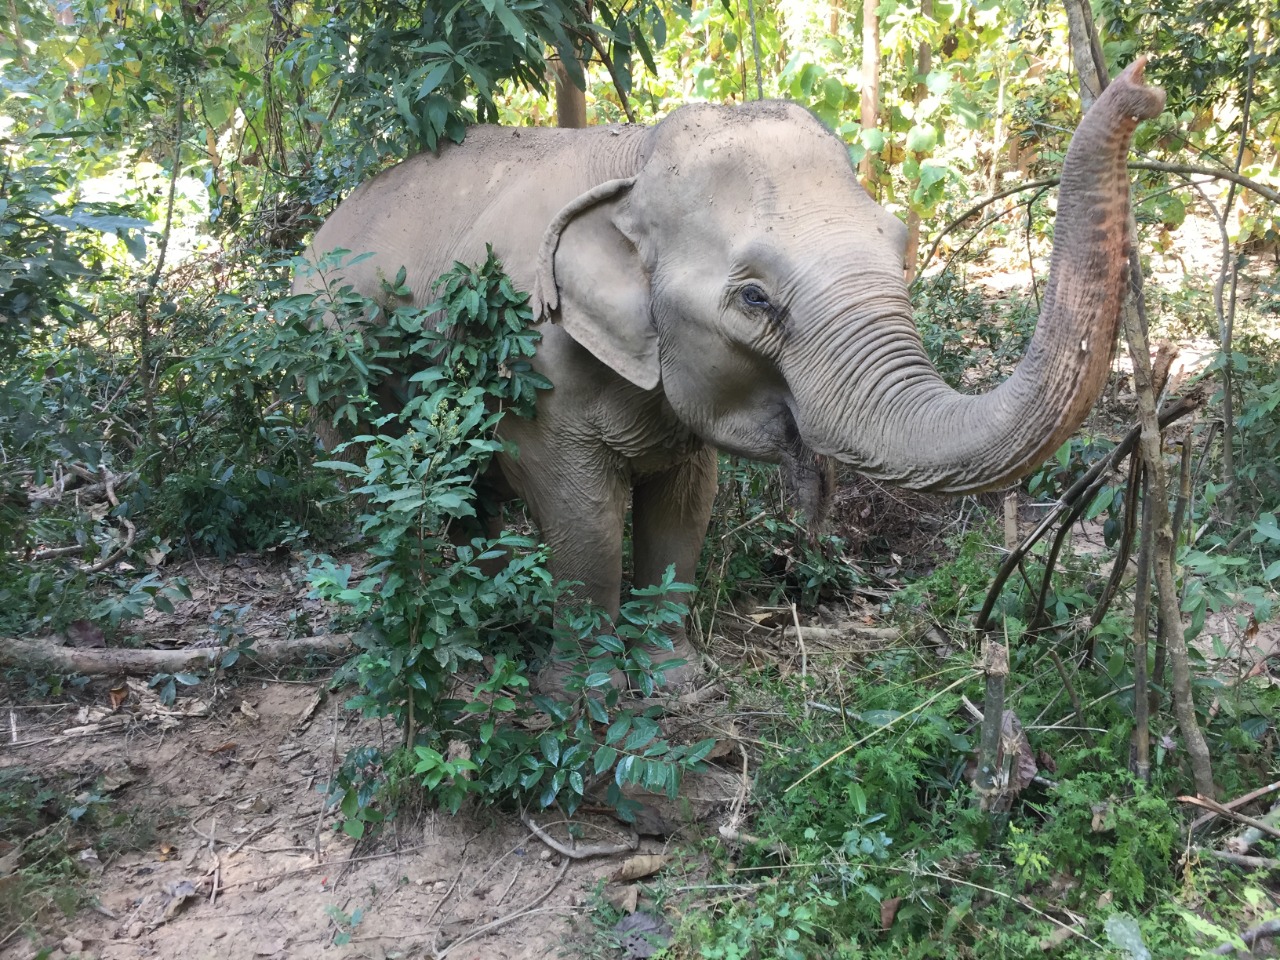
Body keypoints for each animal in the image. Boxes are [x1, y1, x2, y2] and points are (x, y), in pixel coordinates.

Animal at [296, 59, 1164, 692]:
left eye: (899, 248)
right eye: (754, 298)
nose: (1141, 86)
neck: (637, 157)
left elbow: (686, 507)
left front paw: (677, 680)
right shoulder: (536, 366)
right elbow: (584, 516)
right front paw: (581, 696)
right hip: (331, 353)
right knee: (371, 480)